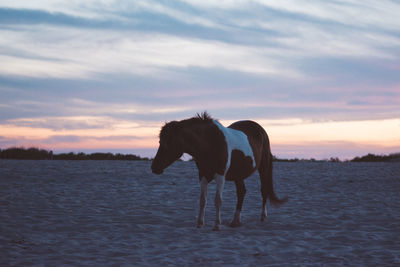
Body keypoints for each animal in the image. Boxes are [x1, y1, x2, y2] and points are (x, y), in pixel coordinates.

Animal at [151, 112, 288, 231]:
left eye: (168, 143)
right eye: (160, 141)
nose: (154, 167)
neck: (210, 143)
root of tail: (261, 130)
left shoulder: (220, 175)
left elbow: (218, 200)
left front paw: (216, 225)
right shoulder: (203, 175)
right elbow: (202, 200)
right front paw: (200, 223)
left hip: (263, 168)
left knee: (263, 190)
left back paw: (263, 216)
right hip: (238, 175)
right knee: (241, 192)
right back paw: (235, 221)